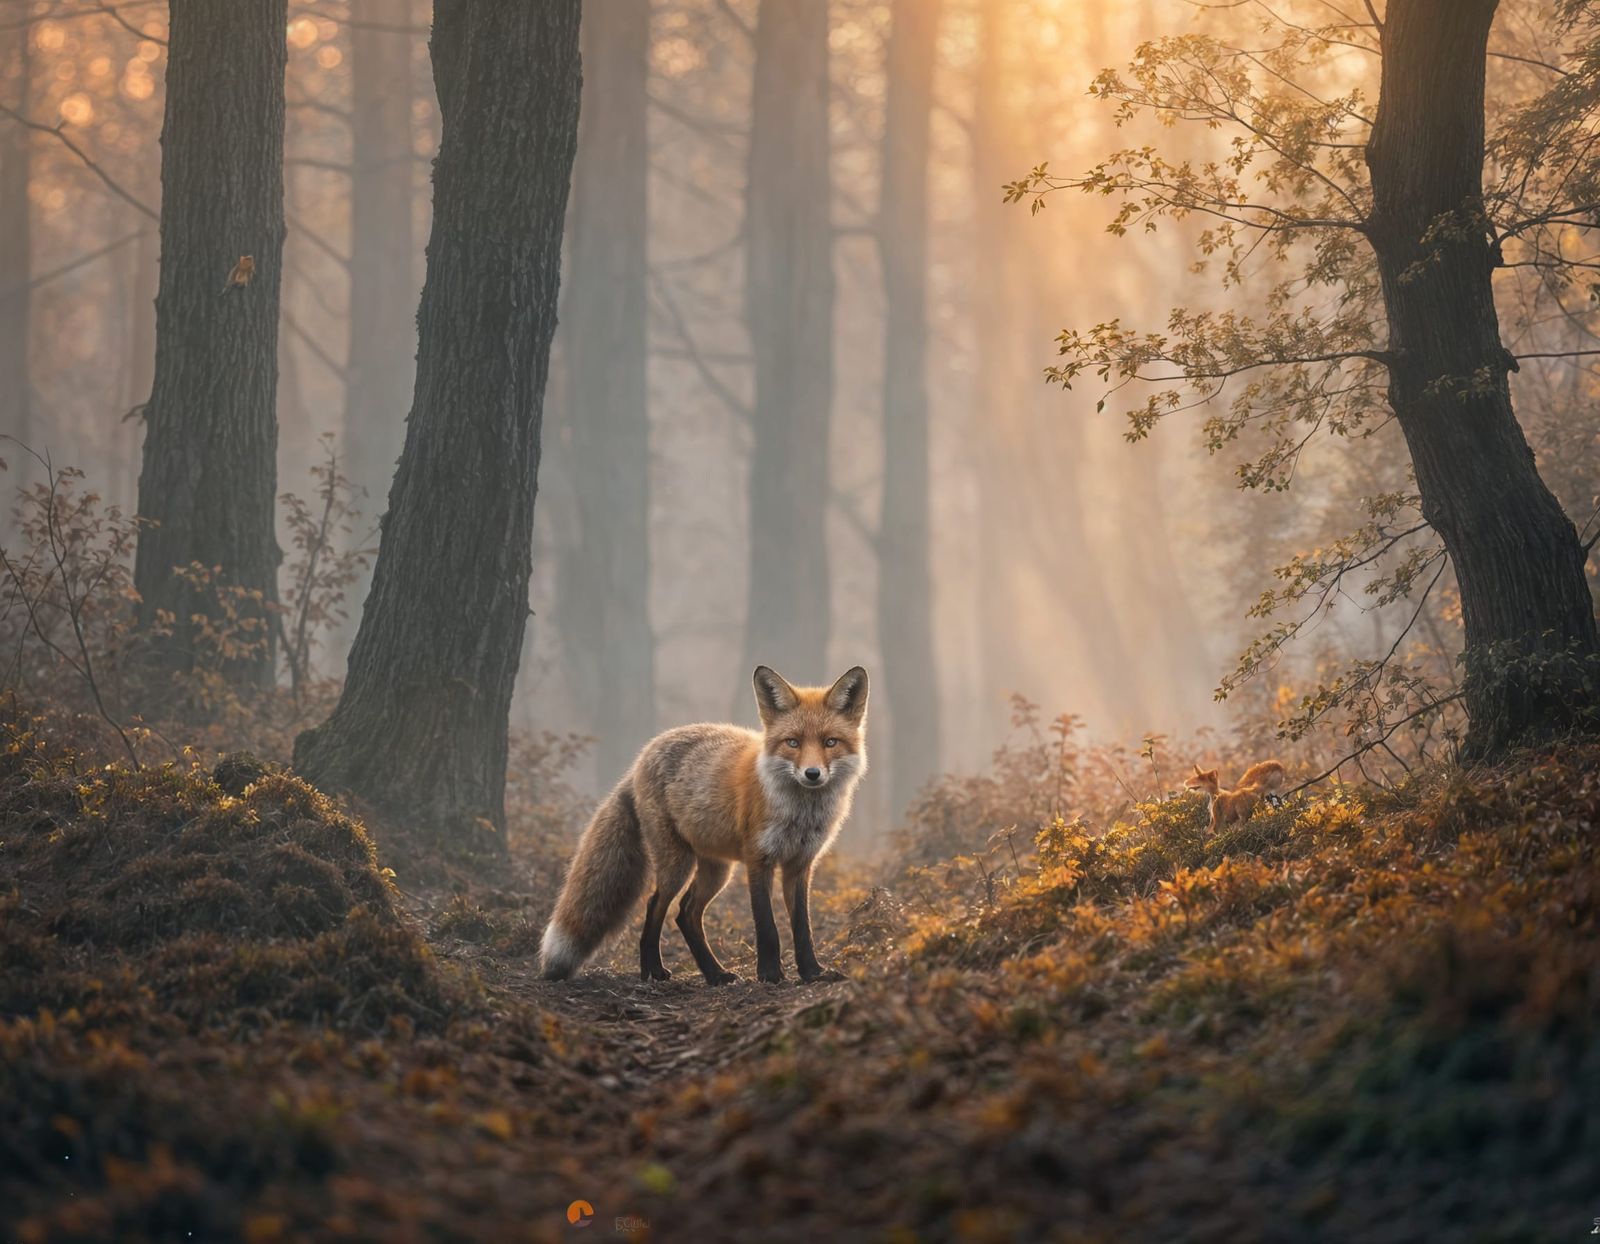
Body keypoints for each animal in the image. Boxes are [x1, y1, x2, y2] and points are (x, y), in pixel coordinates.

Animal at [540, 665, 869, 986]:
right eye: (793, 742)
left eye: (830, 742)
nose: (812, 774)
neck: (801, 814)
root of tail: (640, 759)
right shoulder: (758, 859)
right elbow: (767, 926)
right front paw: (769, 975)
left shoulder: (800, 864)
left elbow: (802, 927)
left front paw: (812, 972)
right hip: (677, 864)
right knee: (655, 905)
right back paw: (653, 971)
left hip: (716, 869)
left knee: (686, 913)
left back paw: (714, 973)